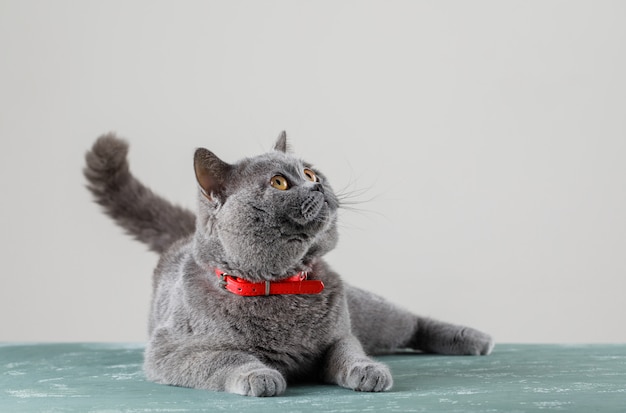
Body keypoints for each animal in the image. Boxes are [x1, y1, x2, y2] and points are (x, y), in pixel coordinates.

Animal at [83, 131, 492, 396]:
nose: (317, 186)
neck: (280, 282)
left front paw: (367, 370)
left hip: (368, 312)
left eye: (309, 172)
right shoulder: (169, 351)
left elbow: (347, 349)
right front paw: (259, 376)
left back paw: (473, 337)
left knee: (409, 322)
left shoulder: (341, 332)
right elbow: (225, 357)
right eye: (280, 182)